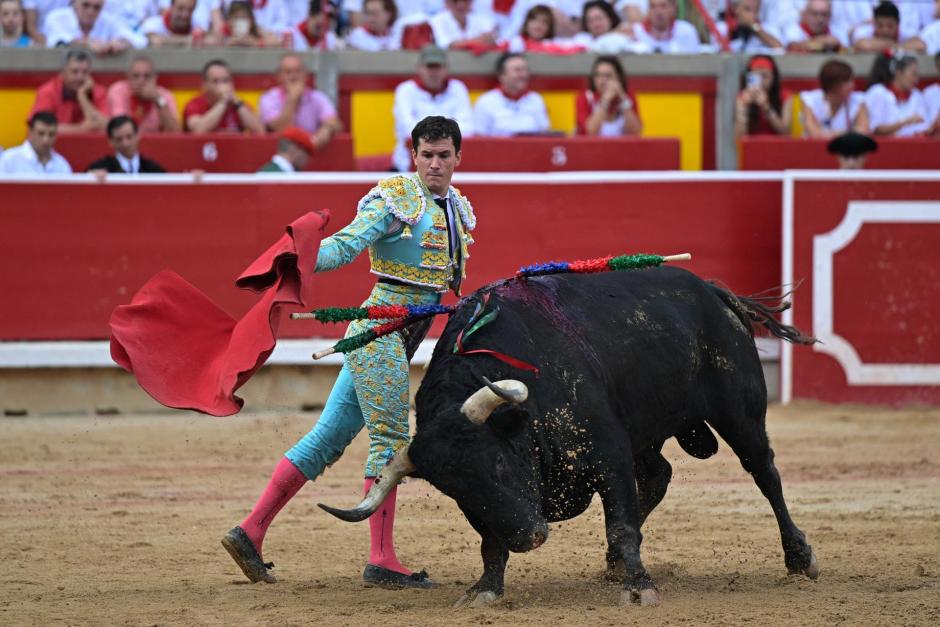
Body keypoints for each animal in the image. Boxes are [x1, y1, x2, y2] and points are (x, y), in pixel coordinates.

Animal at [320, 268, 820, 608]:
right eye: (455, 491)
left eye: (497, 462)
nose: (530, 537)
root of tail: (712, 290)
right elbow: (490, 540)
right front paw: (486, 589)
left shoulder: (608, 454)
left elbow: (620, 521)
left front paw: (639, 589)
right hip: (648, 431)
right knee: (658, 475)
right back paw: (614, 563)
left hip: (740, 411)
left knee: (764, 472)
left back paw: (799, 558)